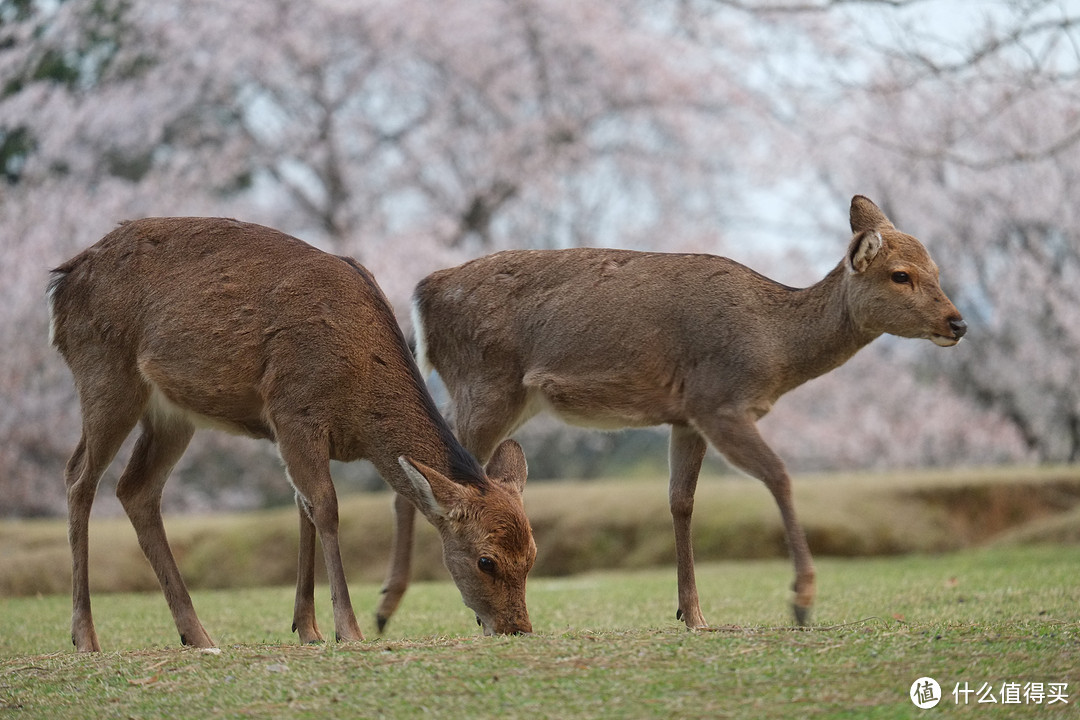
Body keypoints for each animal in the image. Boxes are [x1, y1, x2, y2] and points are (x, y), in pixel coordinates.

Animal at [48, 216, 537, 651]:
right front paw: (349, 629)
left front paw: (308, 628)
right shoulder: (294, 409)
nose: (519, 628)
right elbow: (326, 507)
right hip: (105, 372)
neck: (360, 405)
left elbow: (304, 509)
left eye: (532, 556)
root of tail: (61, 283)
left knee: (136, 489)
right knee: (78, 478)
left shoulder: (296, 431)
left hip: (172, 414)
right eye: (486, 561)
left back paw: (197, 636)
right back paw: (85, 637)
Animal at [375, 197, 967, 630]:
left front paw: (693, 615)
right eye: (900, 274)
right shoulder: (718, 400)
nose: (958, 322)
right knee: (421, 477)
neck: (774, 347)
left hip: (505, 396)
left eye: (937, 268)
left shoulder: (685, 416)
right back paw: (387, 608)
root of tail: (422, 295)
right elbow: (779, 475)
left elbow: (681, 502)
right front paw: (801, 601)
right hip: (484, 384)